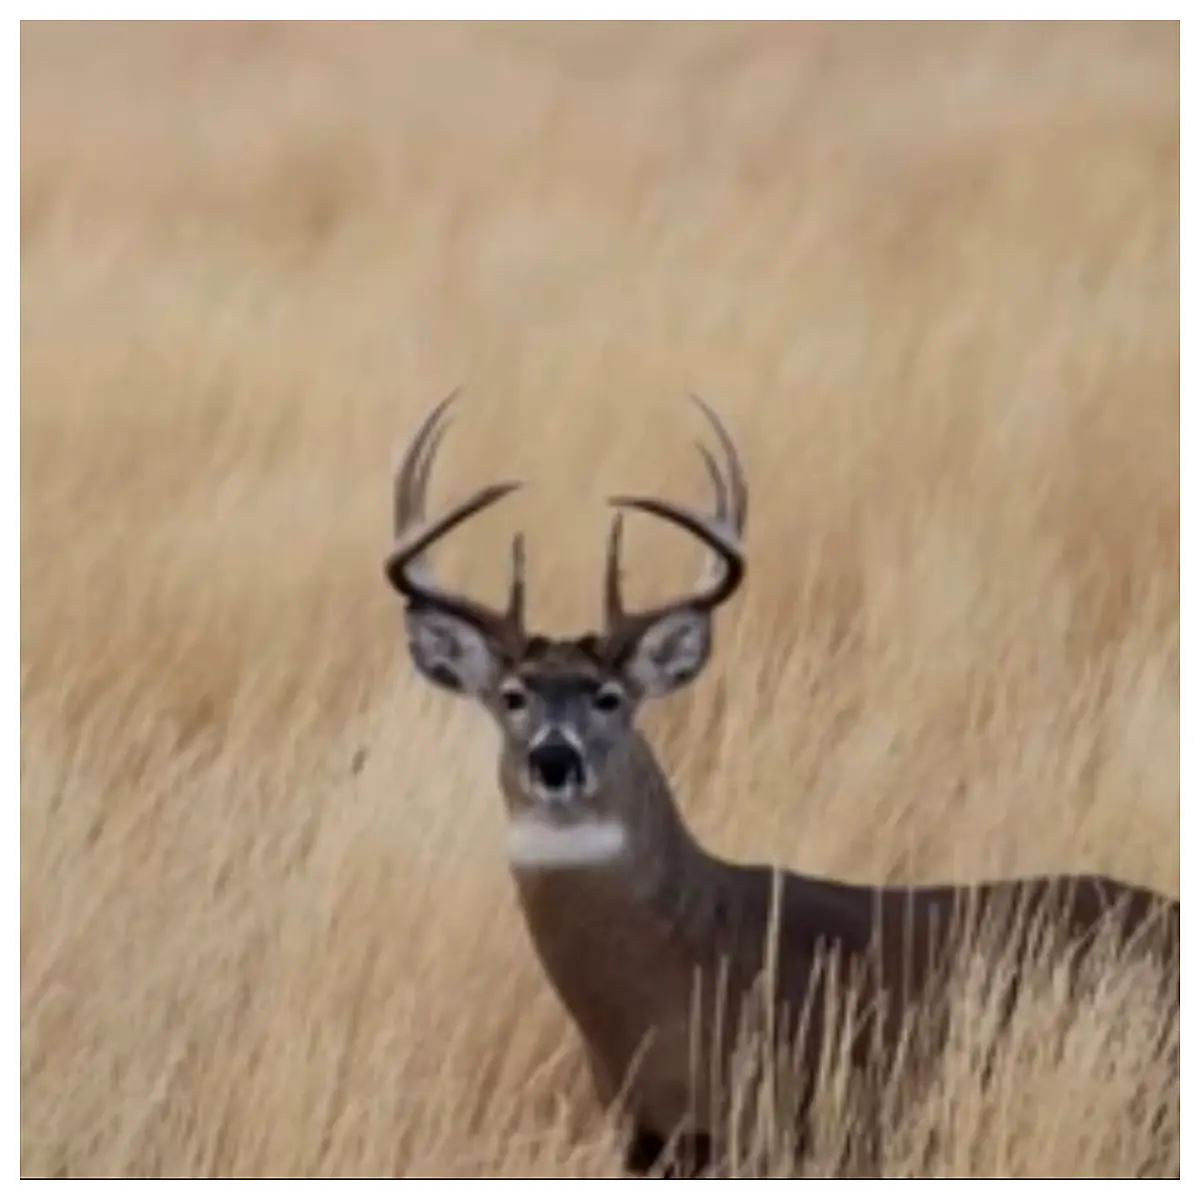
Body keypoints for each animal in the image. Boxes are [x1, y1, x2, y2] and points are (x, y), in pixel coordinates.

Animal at [383, 393, 1180, 1177]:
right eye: (512, 696)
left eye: (610, 697)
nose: (554, 760)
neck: (677, 968)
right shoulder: (649, 1140)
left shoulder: (780, 1121)